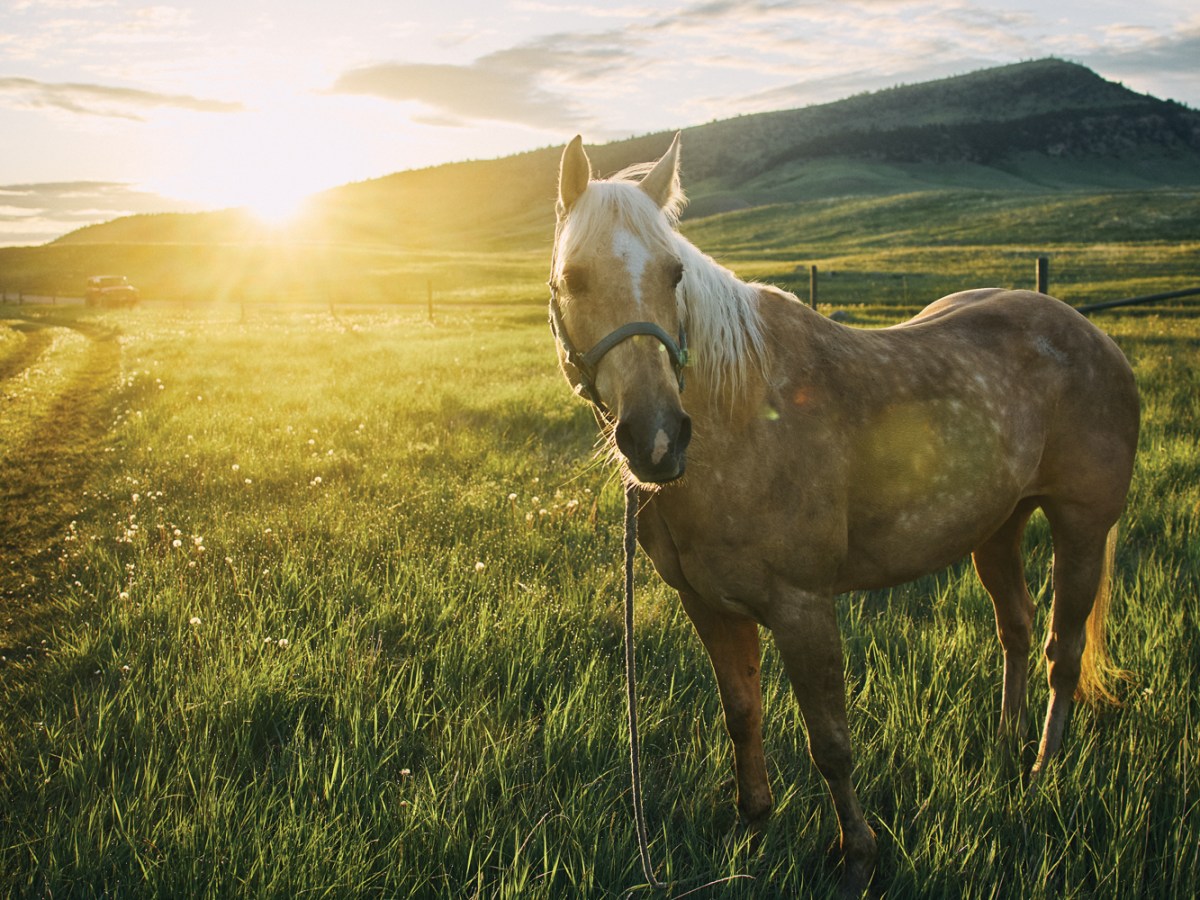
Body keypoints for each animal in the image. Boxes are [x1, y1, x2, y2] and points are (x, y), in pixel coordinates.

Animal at [547, 134, 1139, 894]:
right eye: (573, 278)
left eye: (674, 272)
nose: (658, 438)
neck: (741, 416)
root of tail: (1089, 332)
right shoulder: (709, 604)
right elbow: (742, 714)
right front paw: (752, 825)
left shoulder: (803, 607)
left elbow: (830, 742)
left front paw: (856, 854)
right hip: (997, 527)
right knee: (1016, 628)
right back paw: (1008, 746)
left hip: (1081, 527)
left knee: (1063, 653)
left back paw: (1041, 771)